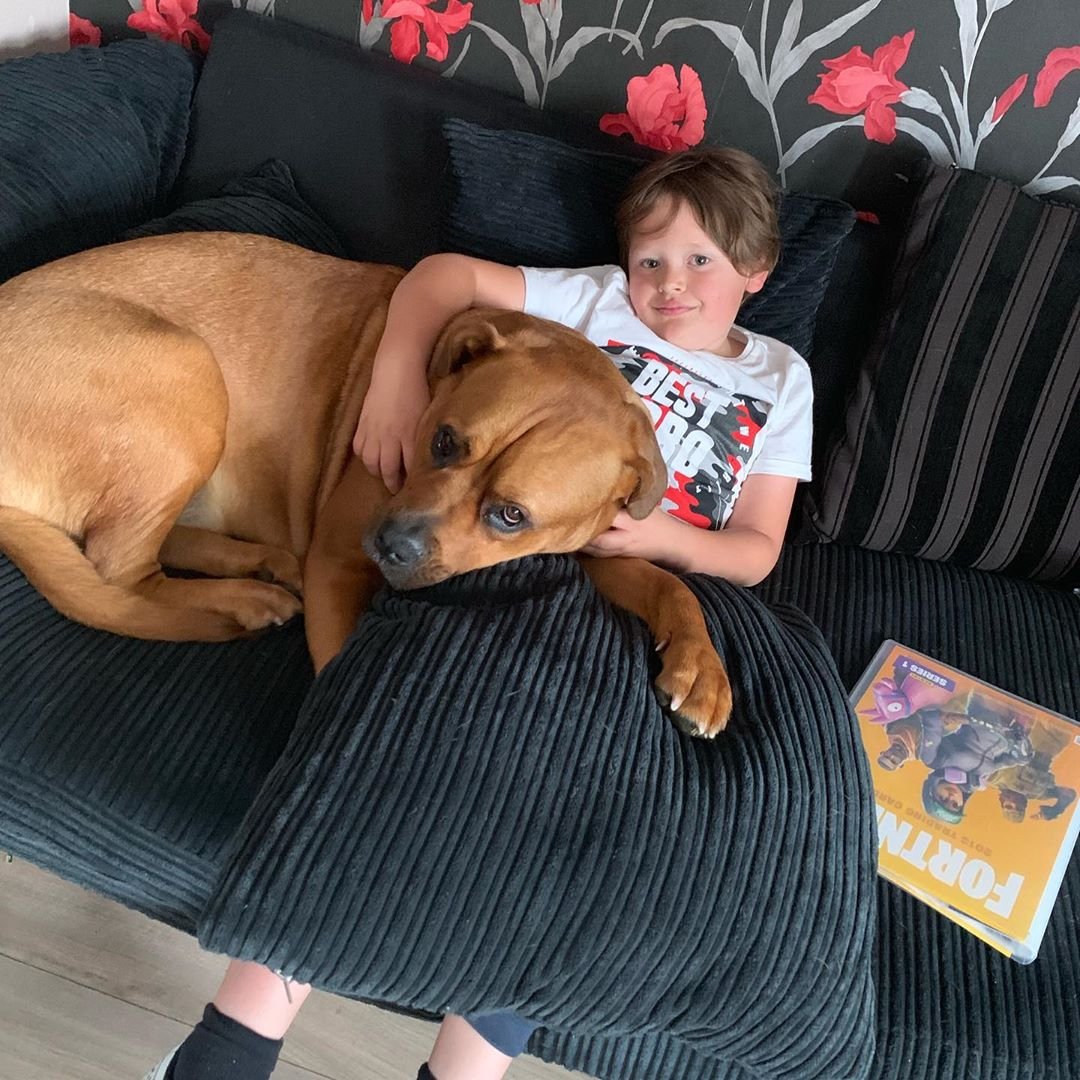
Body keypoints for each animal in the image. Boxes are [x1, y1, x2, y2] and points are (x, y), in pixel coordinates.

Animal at [0, 233, 734, 738]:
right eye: (443, 441)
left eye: (511, 515)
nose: (391, 545)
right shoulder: (336, 564)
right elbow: (338, 663)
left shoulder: (585, 544)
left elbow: (666, 583)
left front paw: (702, 670)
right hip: (184, 370)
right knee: (119, 572)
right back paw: (238, 599)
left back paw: (255, 564)